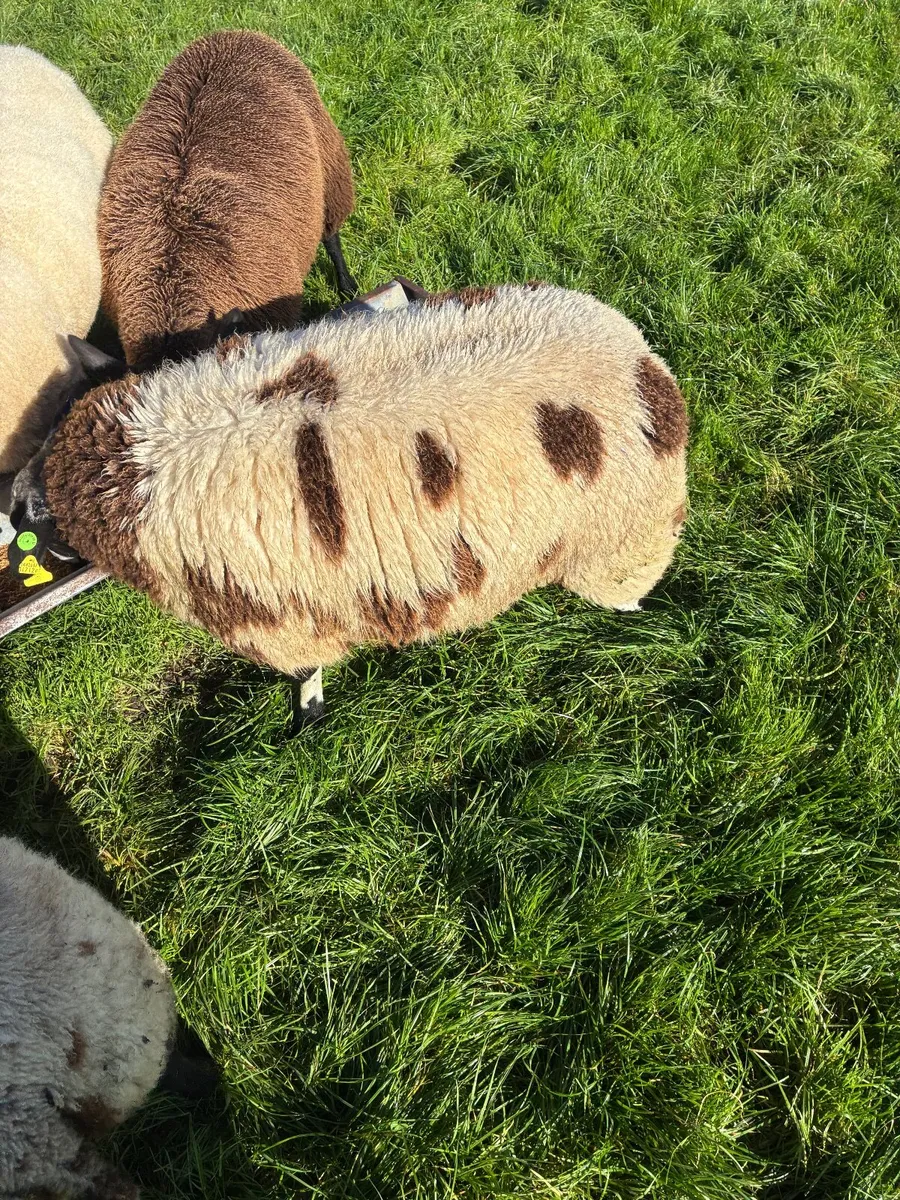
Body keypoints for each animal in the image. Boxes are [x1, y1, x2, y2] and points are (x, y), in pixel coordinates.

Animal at [40, 283, 688, 718]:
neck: (149, 454)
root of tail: (647, 363)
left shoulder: (283, 627)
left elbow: (308, 671)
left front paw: (309, 710)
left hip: (624, 545)